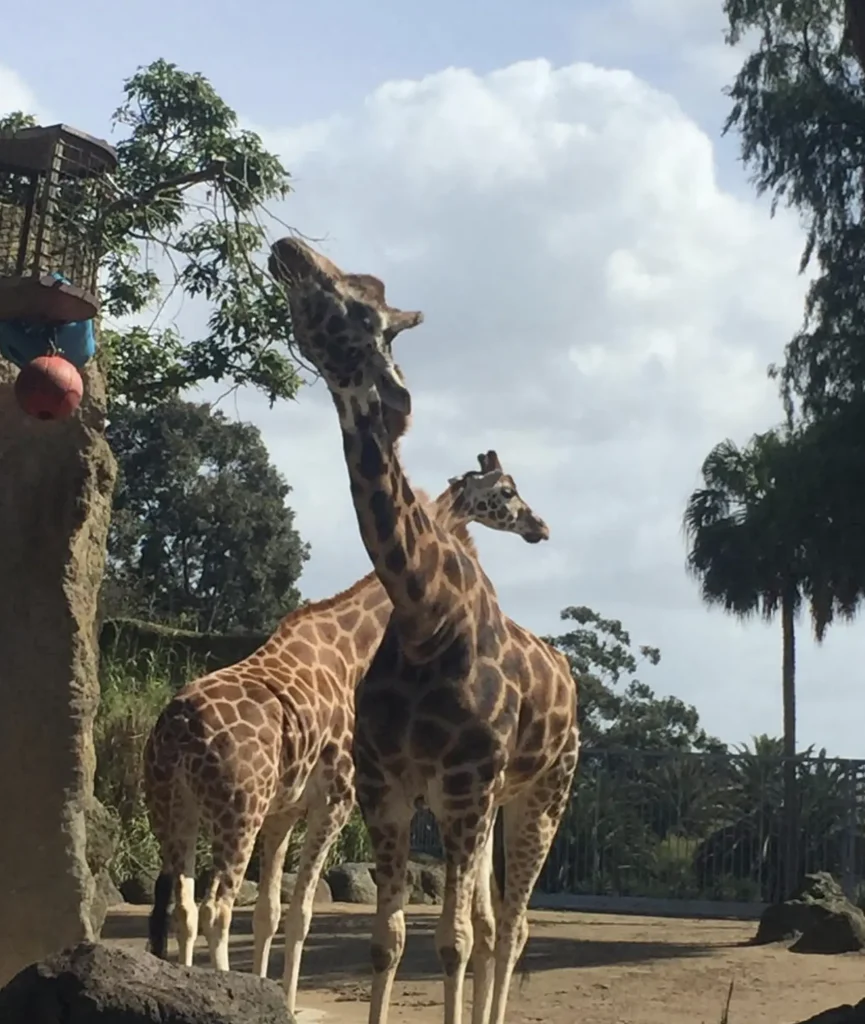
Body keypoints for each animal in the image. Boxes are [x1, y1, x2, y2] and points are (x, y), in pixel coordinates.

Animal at [141, 450, 548, 1015]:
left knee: (183, 904)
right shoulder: (335, 798)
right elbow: (300, 914)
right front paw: (281, 1001)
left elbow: (269, 911)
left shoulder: (283, 809)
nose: (539, 527)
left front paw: (270, 991)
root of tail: (177, 727)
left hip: (170, 808)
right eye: (508, 491)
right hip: (234, 811)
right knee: (215, 907)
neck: (352, 641)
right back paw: (218, 992)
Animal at [270, 235, 581, 1024]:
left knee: (514, 924)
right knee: (496, 922)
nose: (288, 247)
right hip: (493, 804)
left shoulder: (464, 787)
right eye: (505, 492)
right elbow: (390, 940)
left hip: (542, 795)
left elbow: (453, 941)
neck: (423, 616)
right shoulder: (387, 787)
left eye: (362, 305)